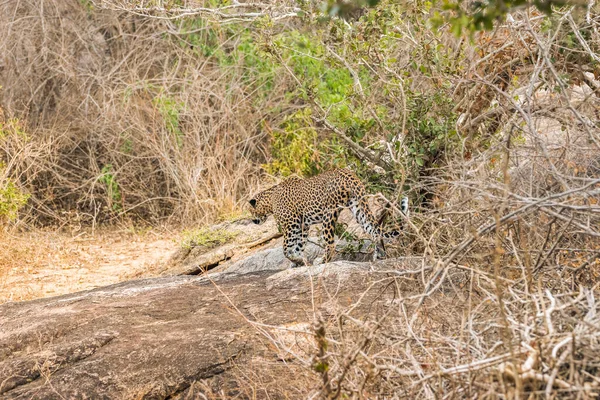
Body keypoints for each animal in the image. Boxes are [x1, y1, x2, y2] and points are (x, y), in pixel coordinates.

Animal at [247, 167, 408, 268]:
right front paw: (298, 262)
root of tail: (348, 174)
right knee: (374, 230)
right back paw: (380, 256)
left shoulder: (291, 224)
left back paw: (322, 261)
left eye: (250, 211)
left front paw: (297, 260)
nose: (253, 221)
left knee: (330, 244)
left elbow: (286, 248)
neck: (270, 200)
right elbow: (299, 245)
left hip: (328, 214)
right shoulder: (303, 226)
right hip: (357, 207)